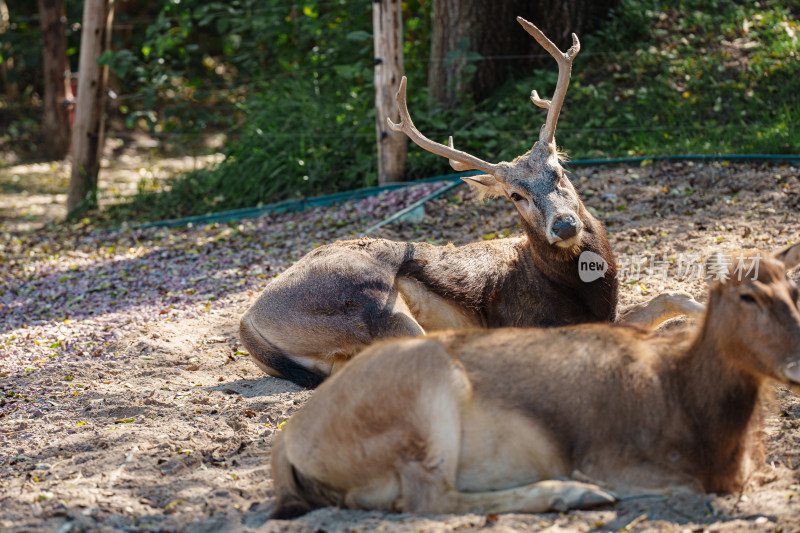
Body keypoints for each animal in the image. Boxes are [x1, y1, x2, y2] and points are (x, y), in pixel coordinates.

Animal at [241, 17, 704, 386]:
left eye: (560, 171)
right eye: (515, 194)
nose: (565, 225)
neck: (578, 288)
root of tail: (247, 323)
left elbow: (670, 297)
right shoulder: (534, 322)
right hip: (372, 304)